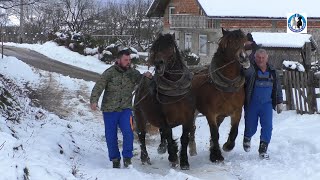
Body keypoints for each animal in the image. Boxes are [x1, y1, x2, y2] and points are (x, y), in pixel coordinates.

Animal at [133, 33, 195, 170]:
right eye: (156, 48)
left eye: (170, 47)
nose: (158, 63)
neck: (175, 88)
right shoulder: (165, 119)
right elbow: (168, 135)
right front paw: (173, 158)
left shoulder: (188, 118)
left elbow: (184, 138)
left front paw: (184, 162)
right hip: (140, 116)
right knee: (142, 135)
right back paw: (145, 157)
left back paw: (161, 148)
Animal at [192, 28, 250, 162]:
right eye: (229, 42)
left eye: (244, 41)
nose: (243, 58)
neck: (227, 88)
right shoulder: (211, 114)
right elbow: (214, 133)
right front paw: (216, 155)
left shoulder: (237, 111)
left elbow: (234, 131)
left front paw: (227, 146)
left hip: (221, 116)